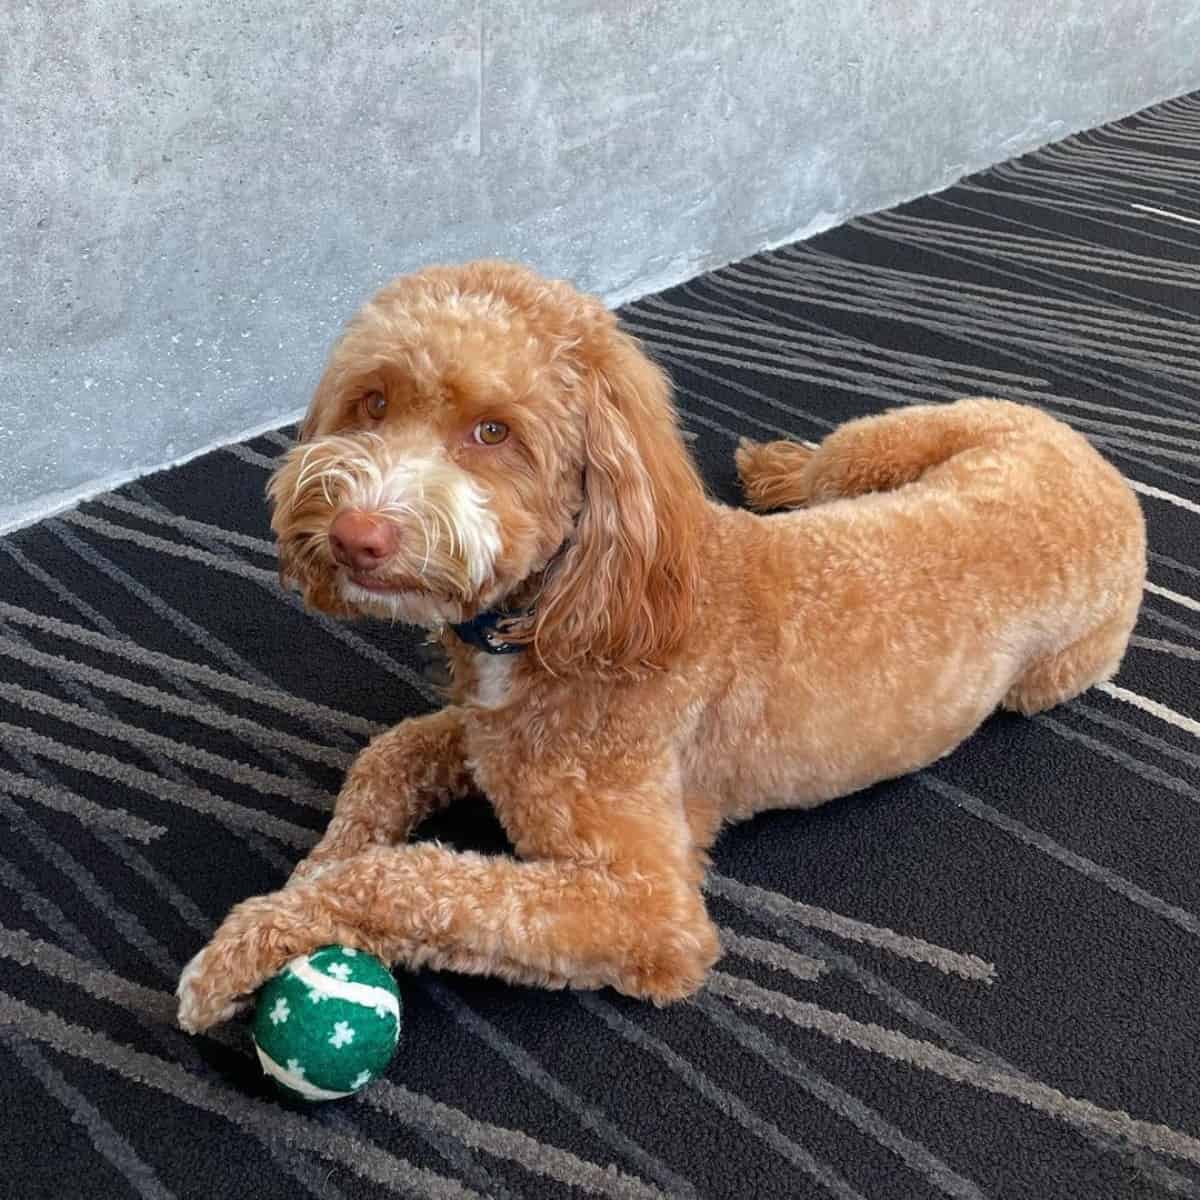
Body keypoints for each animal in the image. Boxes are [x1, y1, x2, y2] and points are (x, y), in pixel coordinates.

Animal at [175, 260, 1142, 1032]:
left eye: (494, 432)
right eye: (372, 401)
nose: (356, 534)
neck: (564, 614)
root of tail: (1099, 465)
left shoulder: (648, 908)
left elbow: (410, 879)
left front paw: (252, 941)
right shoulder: (487, 735)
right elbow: (387, 757)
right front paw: (312, 869)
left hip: (1053, 666)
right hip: (907, 437)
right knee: (832, 463)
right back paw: (775, 470)